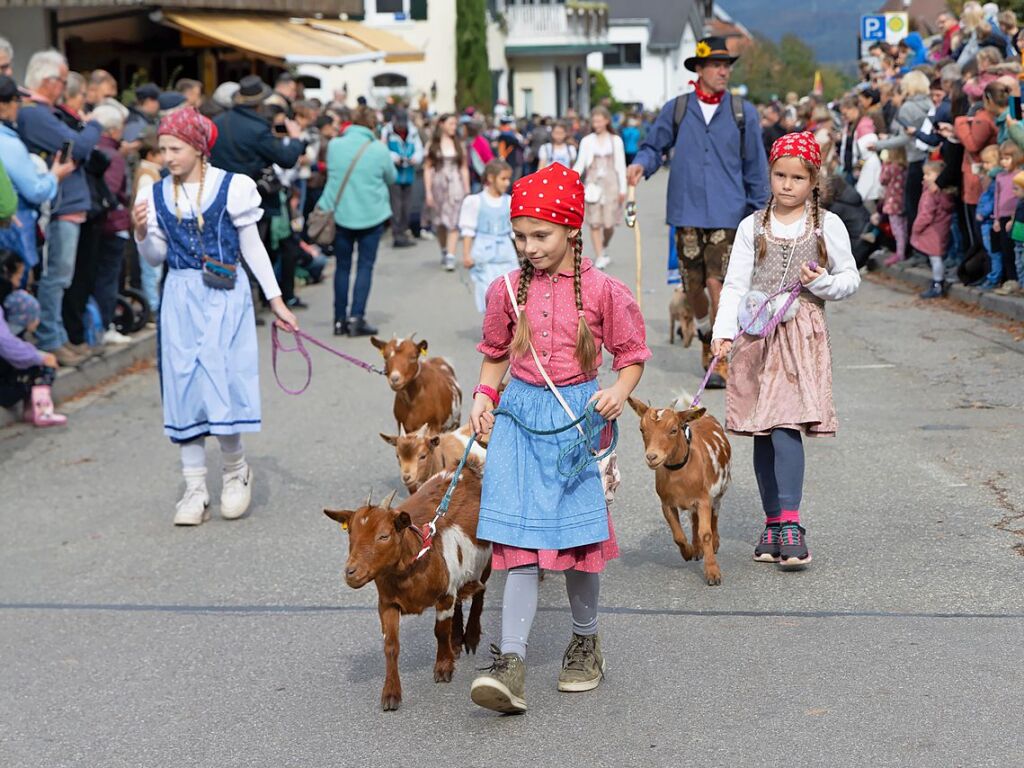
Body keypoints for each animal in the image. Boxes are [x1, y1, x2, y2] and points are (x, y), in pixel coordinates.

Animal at [323, 468, 491, 716]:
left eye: (384, 535)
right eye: (350, 534)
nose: (351, 572)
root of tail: (463, 471)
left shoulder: (444, 596)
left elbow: (440, 631)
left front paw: (443, 667)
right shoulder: (387, 604)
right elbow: (391, 646)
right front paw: (391, 694)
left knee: (480, 590)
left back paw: (470, 637)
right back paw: (457, 641)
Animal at [626, 393, 733, 585]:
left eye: (674, 430)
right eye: (641, 429)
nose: (652, 457)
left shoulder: (704, 499)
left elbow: (706, 533)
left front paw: (713, 572)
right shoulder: (667, 503)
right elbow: (678, 536)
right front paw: (688, 552)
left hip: (719, 492)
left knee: (714, 515)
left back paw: (715, 543)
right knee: (694, 520)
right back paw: (697, 549)